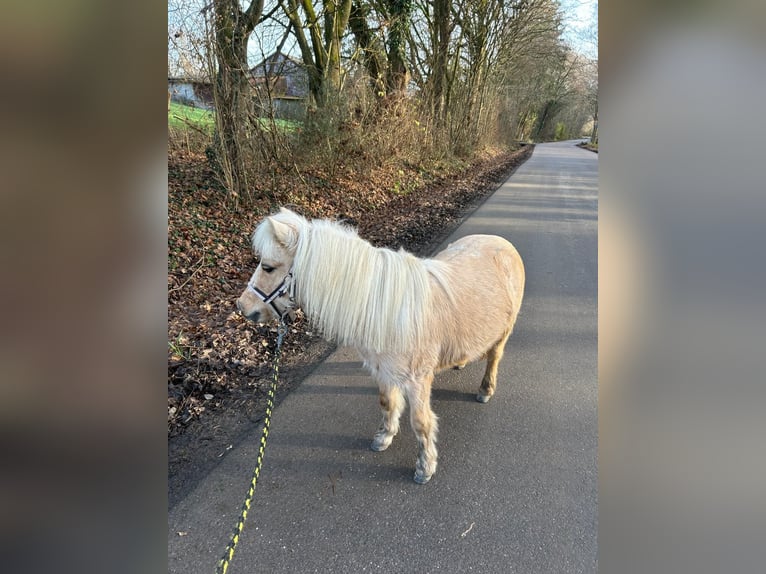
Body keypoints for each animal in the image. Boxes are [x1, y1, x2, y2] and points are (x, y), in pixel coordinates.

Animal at [237, 208, 525, 484]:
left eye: (268, 267)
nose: (243, 307)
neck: (383, 306)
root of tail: (501, 242)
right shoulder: (382, 370)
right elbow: (387, 402)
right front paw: (384, 437)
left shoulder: (417, 380)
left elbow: (421, 423)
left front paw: (425, 467)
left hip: (504, 332)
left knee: (494, 357)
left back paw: (485, 389)